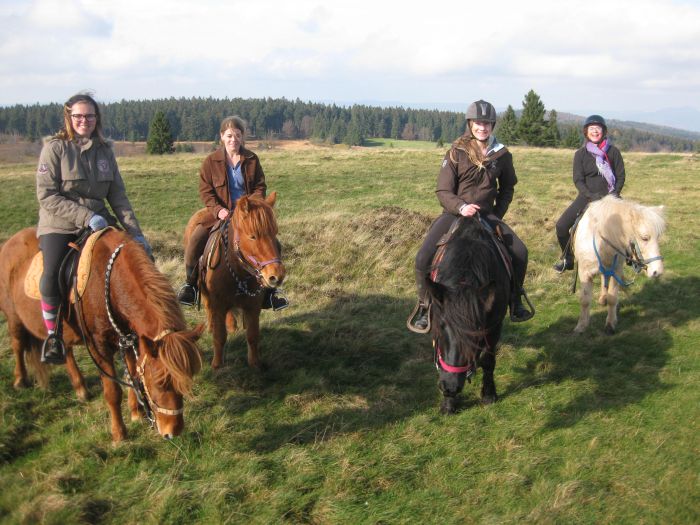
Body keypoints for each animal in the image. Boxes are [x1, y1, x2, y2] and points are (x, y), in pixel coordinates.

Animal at [0, 228, 202, 442]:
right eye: (159, 383)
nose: (173, 431)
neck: (109, 283)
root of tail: (9, 243)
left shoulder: (127, 339)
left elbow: (132, 376)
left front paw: (136, 413)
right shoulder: (98, 347)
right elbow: (112, 391)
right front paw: (119, 433)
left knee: (66, 350)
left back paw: (80, 388)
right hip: (14, 318)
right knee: (18, 344)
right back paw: (20, 380)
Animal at [186, 192, 288, 368]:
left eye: (274, 233)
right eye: (253, 236)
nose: (276, 275)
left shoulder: (253, 306)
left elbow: (253, 336)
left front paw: (255, 364)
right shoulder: (218, 305)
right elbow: (219, 337)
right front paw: (217, 365)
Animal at [426, 215, 508, 412]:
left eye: (476, 335)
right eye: (440, 327)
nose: (450, 387)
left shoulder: (495, 325)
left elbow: (488, 360)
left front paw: (489, 395)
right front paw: (448, 404)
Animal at [572, 194, 664, 334]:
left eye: (657, 237)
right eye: (644, 238)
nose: (657, 272)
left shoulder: (616, 270)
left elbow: (612, 298)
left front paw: (610, 324)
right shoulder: (584, 272)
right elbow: (585, 300)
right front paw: (581, 326)